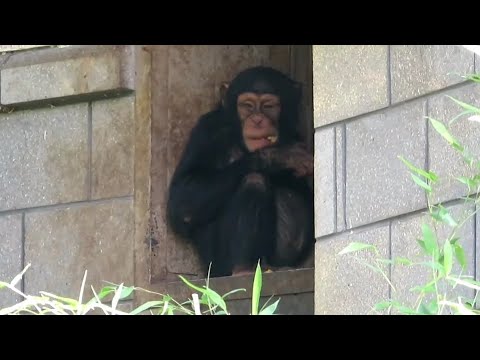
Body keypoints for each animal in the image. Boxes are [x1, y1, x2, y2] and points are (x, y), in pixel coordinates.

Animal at [166, 65, 316, 278]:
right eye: (247, 105)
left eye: (269, 106)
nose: (258, 120)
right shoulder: (206, 130)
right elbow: (182, 199)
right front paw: (279, 156)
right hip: (218, 265)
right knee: (254, 180)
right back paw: (243, 268)